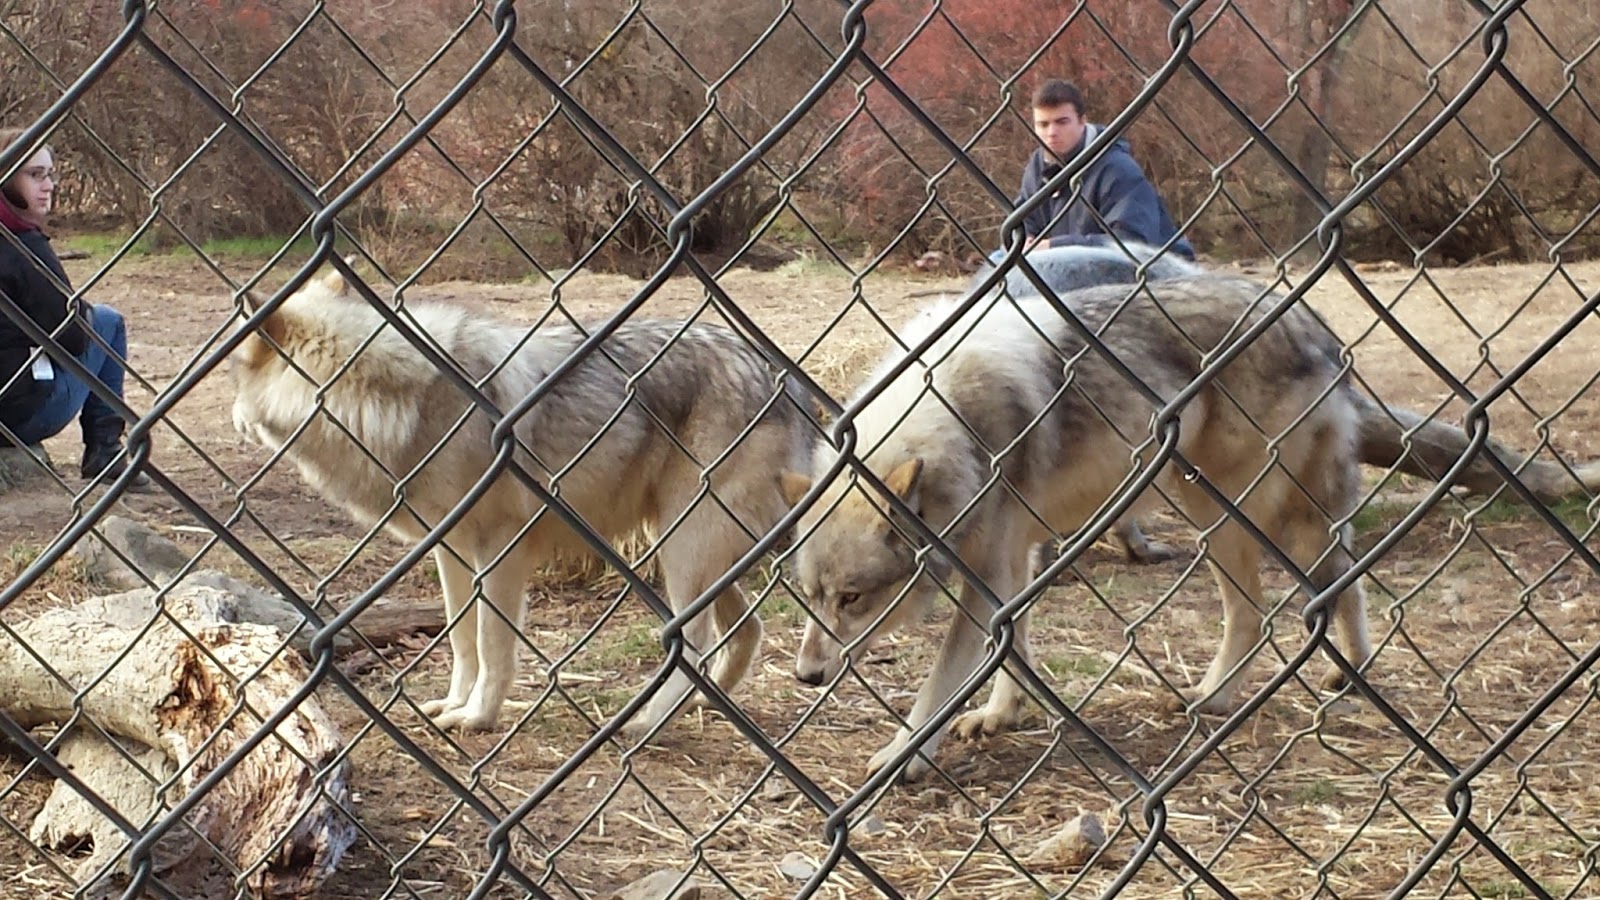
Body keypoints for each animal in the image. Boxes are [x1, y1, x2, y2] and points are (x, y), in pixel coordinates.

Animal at [229, 265, 811, 736]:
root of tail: (776, 377)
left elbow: (491, 645)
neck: (388, 399)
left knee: (695, 641)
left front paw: (478, 718)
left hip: (683, 549)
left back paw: (648, 723)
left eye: (236, 373)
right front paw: (453, 706)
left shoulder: (500, 550)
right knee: (743, 631)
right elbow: (461, 640)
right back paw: (705, 707)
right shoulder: (451, 550)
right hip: (697, 554)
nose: (233, 415)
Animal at [781, 274, 1375, 782]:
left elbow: (943, 679)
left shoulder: (989, 571)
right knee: (1327, 585)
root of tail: (1312, 323)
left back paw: (1227, 696)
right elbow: (1013, 648)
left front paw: (904, 755)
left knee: (1277, 604)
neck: (953, 423)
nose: (806, 676)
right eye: (811, 595)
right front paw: (1001, 715)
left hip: (1236, 516)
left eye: (852, 598)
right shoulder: (1013, 562)